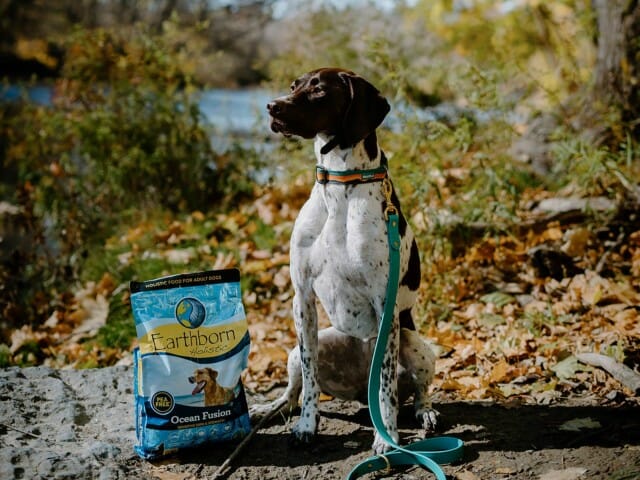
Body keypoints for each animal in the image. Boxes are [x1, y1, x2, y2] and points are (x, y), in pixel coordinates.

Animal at [252, 67, 438, 454]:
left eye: (319, 91)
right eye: (294, 86)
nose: (272, 106)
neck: (339, 185)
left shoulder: (385, 307)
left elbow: (386, 387)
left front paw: (387, 437)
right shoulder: (302, 298)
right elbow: (309, 381)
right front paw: (307, 425)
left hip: (415, 345)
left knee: (416, 388)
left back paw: (424, 411)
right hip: (296, 351)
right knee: (293, 391)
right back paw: (271, 407)